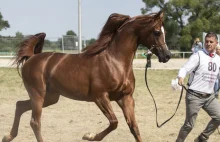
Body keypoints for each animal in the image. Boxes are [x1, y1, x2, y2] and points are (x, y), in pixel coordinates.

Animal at [2, 11, 171, 142]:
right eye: (157, 32)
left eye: (165, 32)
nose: (167, 55)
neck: (115, 61)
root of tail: (31, 58)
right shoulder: (100, 97)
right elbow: (114, 122)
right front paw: (89, 136)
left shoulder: (126, 98)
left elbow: (134, 128)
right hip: (38, 95)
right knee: (35, 122)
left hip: (50, 98)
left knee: (20, 105)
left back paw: (7, 137)